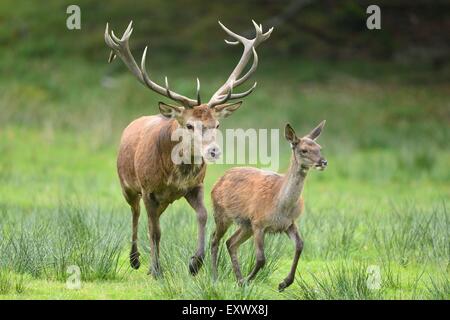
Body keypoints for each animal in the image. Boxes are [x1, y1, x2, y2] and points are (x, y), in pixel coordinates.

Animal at [104, 20, 274, 278]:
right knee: (136, 214)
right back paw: (136, 260)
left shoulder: (196, 185)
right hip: (128, 185)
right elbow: (155, 231)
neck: (174, 175)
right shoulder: (148, 189)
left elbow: (202, 216)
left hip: (162, 200)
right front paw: (157, 271)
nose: (213, 151)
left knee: (150, 219)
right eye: (190, 124)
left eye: (217, 124)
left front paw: (195, 263)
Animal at [211, 120, 326, 290]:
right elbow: (261, 258)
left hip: (246, 225)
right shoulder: (259, 222)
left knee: (230, 242)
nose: (323, 162)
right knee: (214, 239)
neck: (280, 205)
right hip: (222, 214)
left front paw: (284, 283)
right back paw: (215, 277)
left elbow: (300, 245)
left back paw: (237, 278)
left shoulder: (288, 223)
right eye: (304, 150)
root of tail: (217, 182)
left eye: (319, 148)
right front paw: (247, 280)